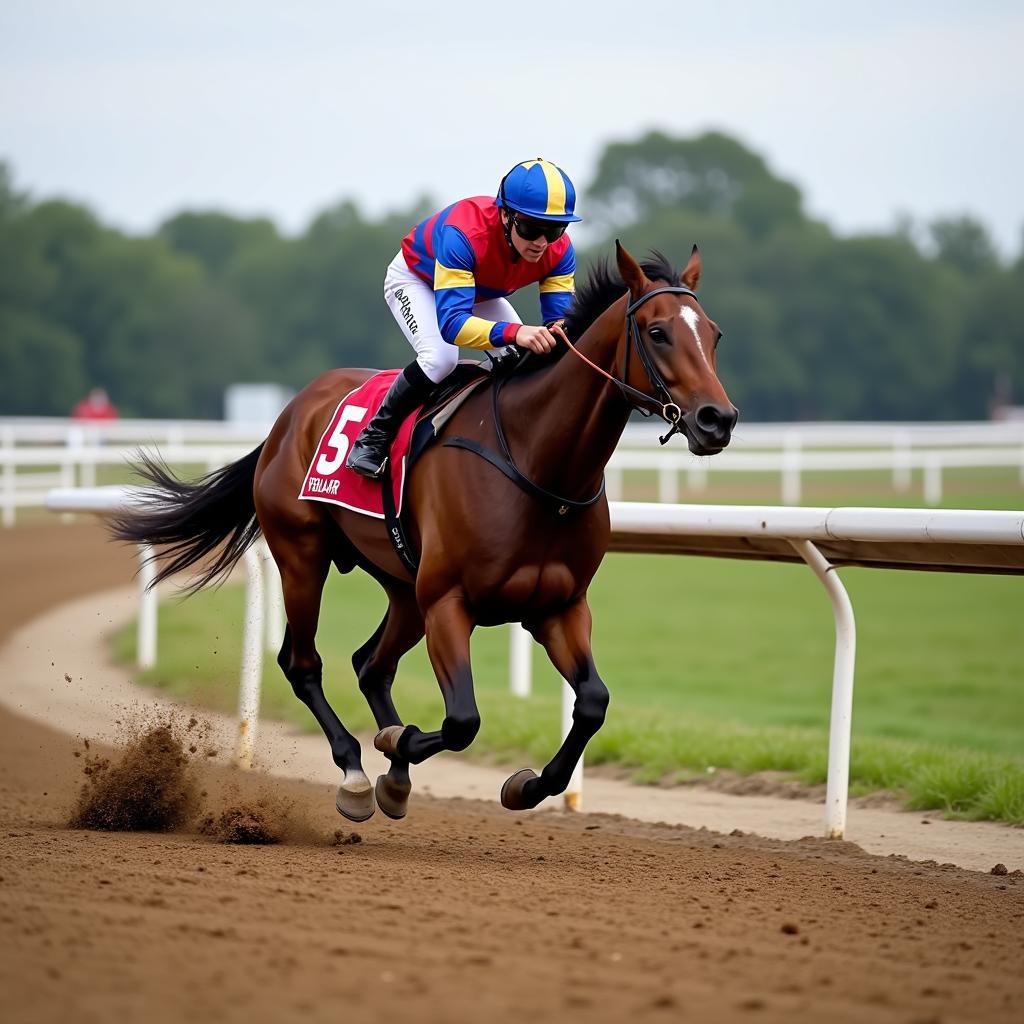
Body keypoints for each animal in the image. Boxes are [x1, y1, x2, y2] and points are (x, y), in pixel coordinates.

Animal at [114, 241, 737, 823]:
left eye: (714, 334)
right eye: (657, 332)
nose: (718, 420)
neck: (537, 461)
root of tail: (288, 416)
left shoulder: (559, 606)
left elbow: (592, 703)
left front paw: (525, 785)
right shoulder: (448, 602)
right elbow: (462, 720)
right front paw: (397, 746)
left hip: (402, 587)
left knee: (370, 665)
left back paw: (391, 776)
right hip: (303, 555)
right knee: (303, 663)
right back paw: (356, 773)